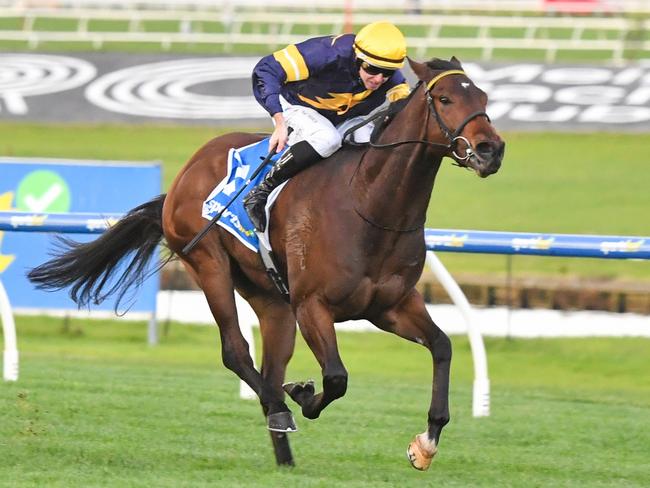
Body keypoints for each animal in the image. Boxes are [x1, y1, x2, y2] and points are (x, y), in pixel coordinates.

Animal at [27, 56, 504, 468]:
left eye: (483, 97)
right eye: (445, 99)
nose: (490, 149)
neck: (370, 204)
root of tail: (186, 172)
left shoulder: (391, 306)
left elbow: (442, 346)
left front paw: (426, 443)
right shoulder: (313, 305)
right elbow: (335, 377)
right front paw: (303, 396)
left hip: (271, 299)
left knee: (271, 367)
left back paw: (284, 454)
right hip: (209, 265)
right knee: (237, 353)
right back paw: (280, 409)